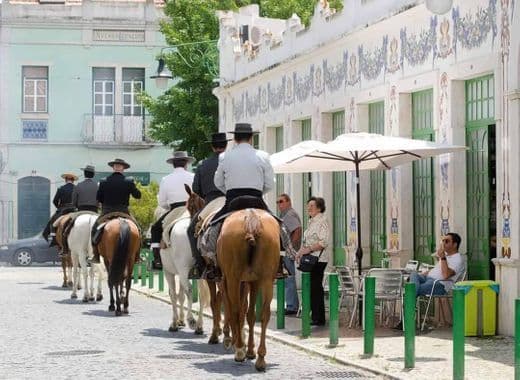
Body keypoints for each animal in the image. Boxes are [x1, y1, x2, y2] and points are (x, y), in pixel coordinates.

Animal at [216, 208, 280, 372]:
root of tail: (251, 217)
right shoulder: (254, 281)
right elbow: (250, 315)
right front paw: (250, 350)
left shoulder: (227, 281)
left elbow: (232, 309)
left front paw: (236, 343)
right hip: (267, 279)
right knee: (264, 314)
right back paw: (260, 359)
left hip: (233, 278)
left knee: (236, 310)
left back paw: (239, 349)